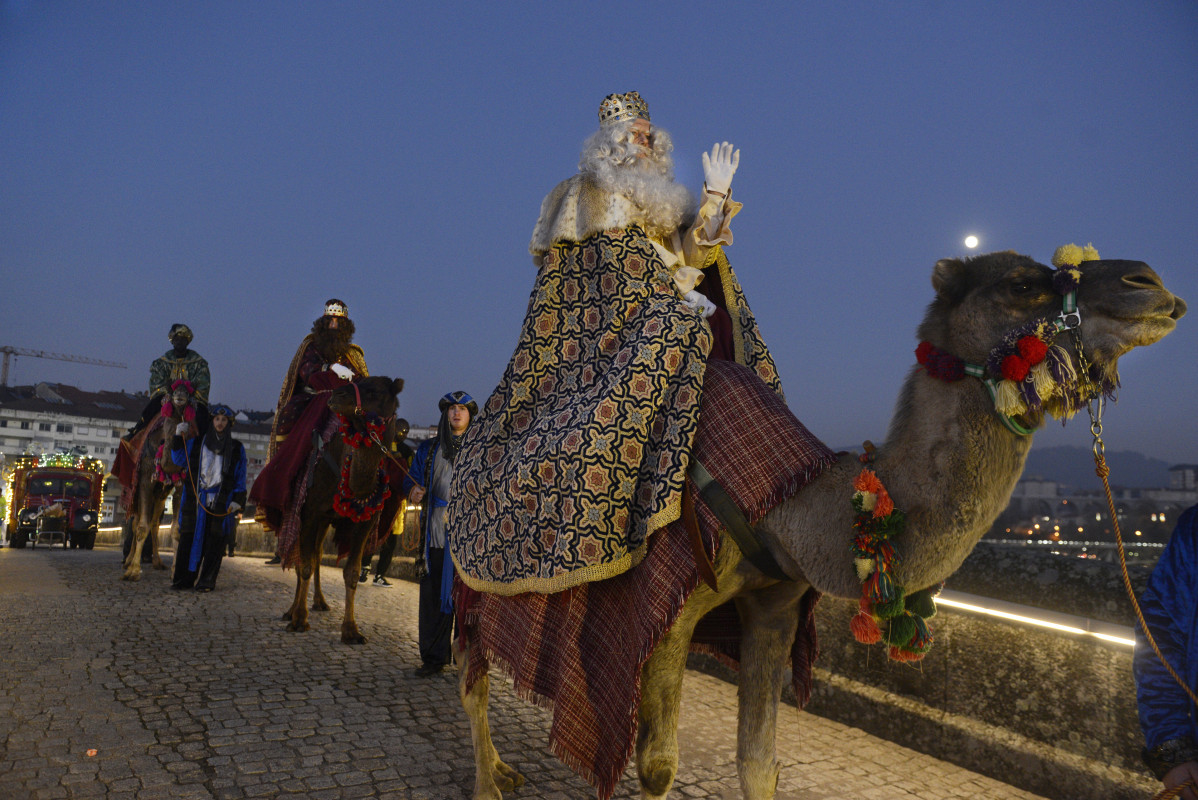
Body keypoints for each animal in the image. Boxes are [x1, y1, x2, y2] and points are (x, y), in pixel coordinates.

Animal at [120, 390, 195, 577]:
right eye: (175, 394)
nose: (180, 396)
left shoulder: (179, 485)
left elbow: (175, 529)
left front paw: (175, 569)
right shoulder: (145, 480)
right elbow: (141, 527)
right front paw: (133, 571)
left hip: (160, 495)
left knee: (155, 523)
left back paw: (157, 562)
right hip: (136, 493)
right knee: (136, 522)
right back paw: (128, 561)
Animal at [282, 376, 404, 641]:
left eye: (375, 391)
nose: (336, 395)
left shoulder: (365, 521)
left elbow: (352, 571)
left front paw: (351, 630)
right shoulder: (309, 512)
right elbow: (303, 565)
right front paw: (299, 619)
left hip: (326, 520)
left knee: (316, 553)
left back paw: (319, 601)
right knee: (300, 557)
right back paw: (291, 610)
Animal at [460, 246, 1188, 795]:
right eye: (1020, 283)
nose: (1150, 282)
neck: (788, 502)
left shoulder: (774, 604)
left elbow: (759, 763)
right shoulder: (666, 609)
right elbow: (659, 767)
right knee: (473, 677)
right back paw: (492, 780)